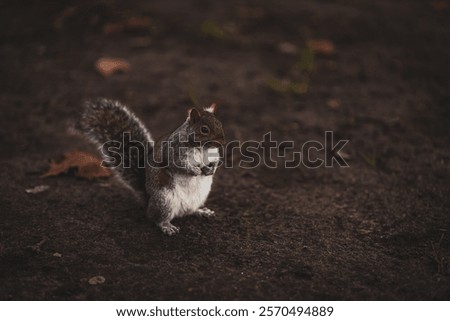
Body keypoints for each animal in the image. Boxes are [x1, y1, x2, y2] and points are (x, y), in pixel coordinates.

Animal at [78, 98, 225, 235]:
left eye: (219, 123)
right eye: (204, 129)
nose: (222, 142)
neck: (202, 148)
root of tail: (148, 202)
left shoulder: (213, 155)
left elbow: (215, 161)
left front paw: (211, 169)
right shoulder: (173, 153)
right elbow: (179, 165)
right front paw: (195, 171)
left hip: (199, 197)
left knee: (190, 211)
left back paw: (202, 211)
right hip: (164, 200)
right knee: (157, 218)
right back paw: (167, 226)